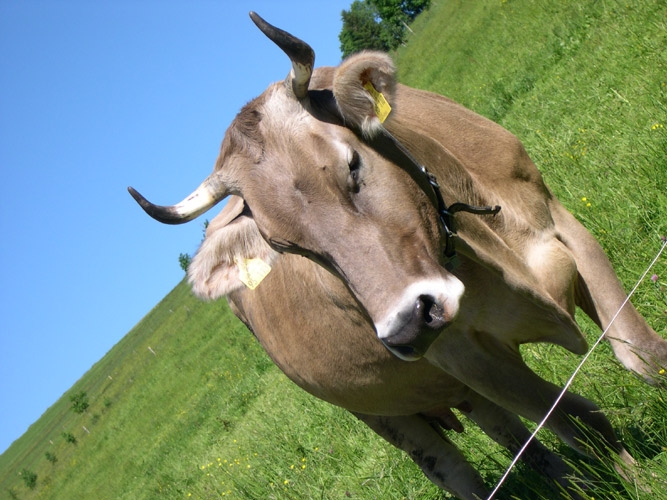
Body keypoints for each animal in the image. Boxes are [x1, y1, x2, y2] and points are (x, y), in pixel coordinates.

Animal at [128, 11, 664, 500]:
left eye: (352, 165)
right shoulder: (466, 354)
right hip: (383, 412)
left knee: (517, 441)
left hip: (453, 387)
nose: (407, 324)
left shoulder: (561, 223)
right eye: (286, 246)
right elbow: (581, 420)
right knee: (456, 472)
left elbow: (642, 356)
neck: (481, 244)